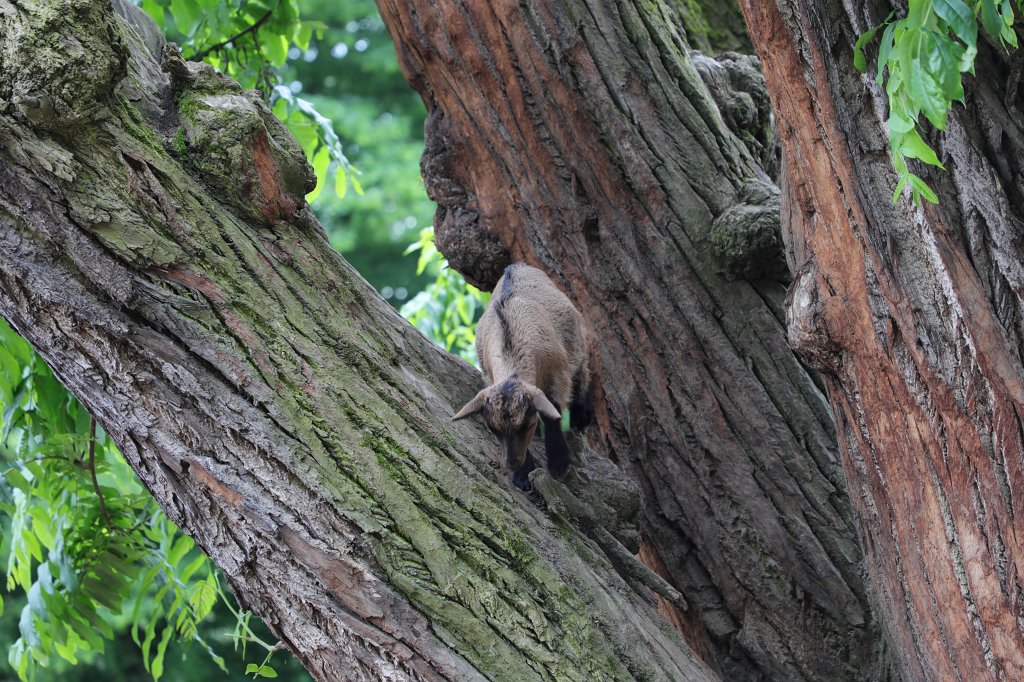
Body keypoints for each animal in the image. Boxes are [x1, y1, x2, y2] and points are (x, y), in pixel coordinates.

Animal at [453, 263, 593, 489]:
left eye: (527, 425)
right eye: (493, 429)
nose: (512, 464)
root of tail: (515, 266)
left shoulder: (558, 375)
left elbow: (552, 411)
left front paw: (559, 464)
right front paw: (523, 475)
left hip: (575, 338)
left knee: (583, 370)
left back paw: (582, 416)